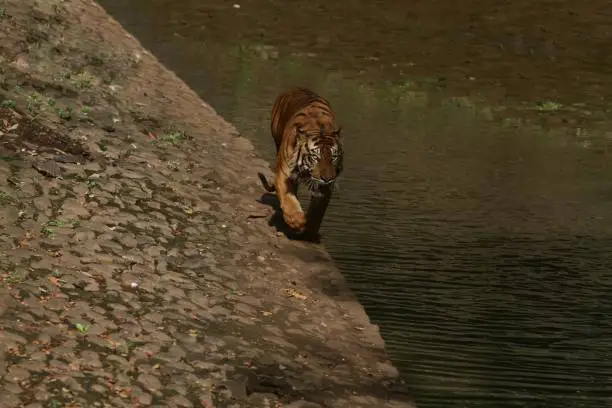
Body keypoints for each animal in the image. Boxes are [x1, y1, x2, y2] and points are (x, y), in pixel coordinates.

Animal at [256, 87, 344, 239]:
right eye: (315, 157)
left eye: (333, 157)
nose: (327, 178)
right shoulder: (283, 174)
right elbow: (288, 200)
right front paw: (298, 223)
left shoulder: (326, 187)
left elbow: (318, 211)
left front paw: (311, 232)